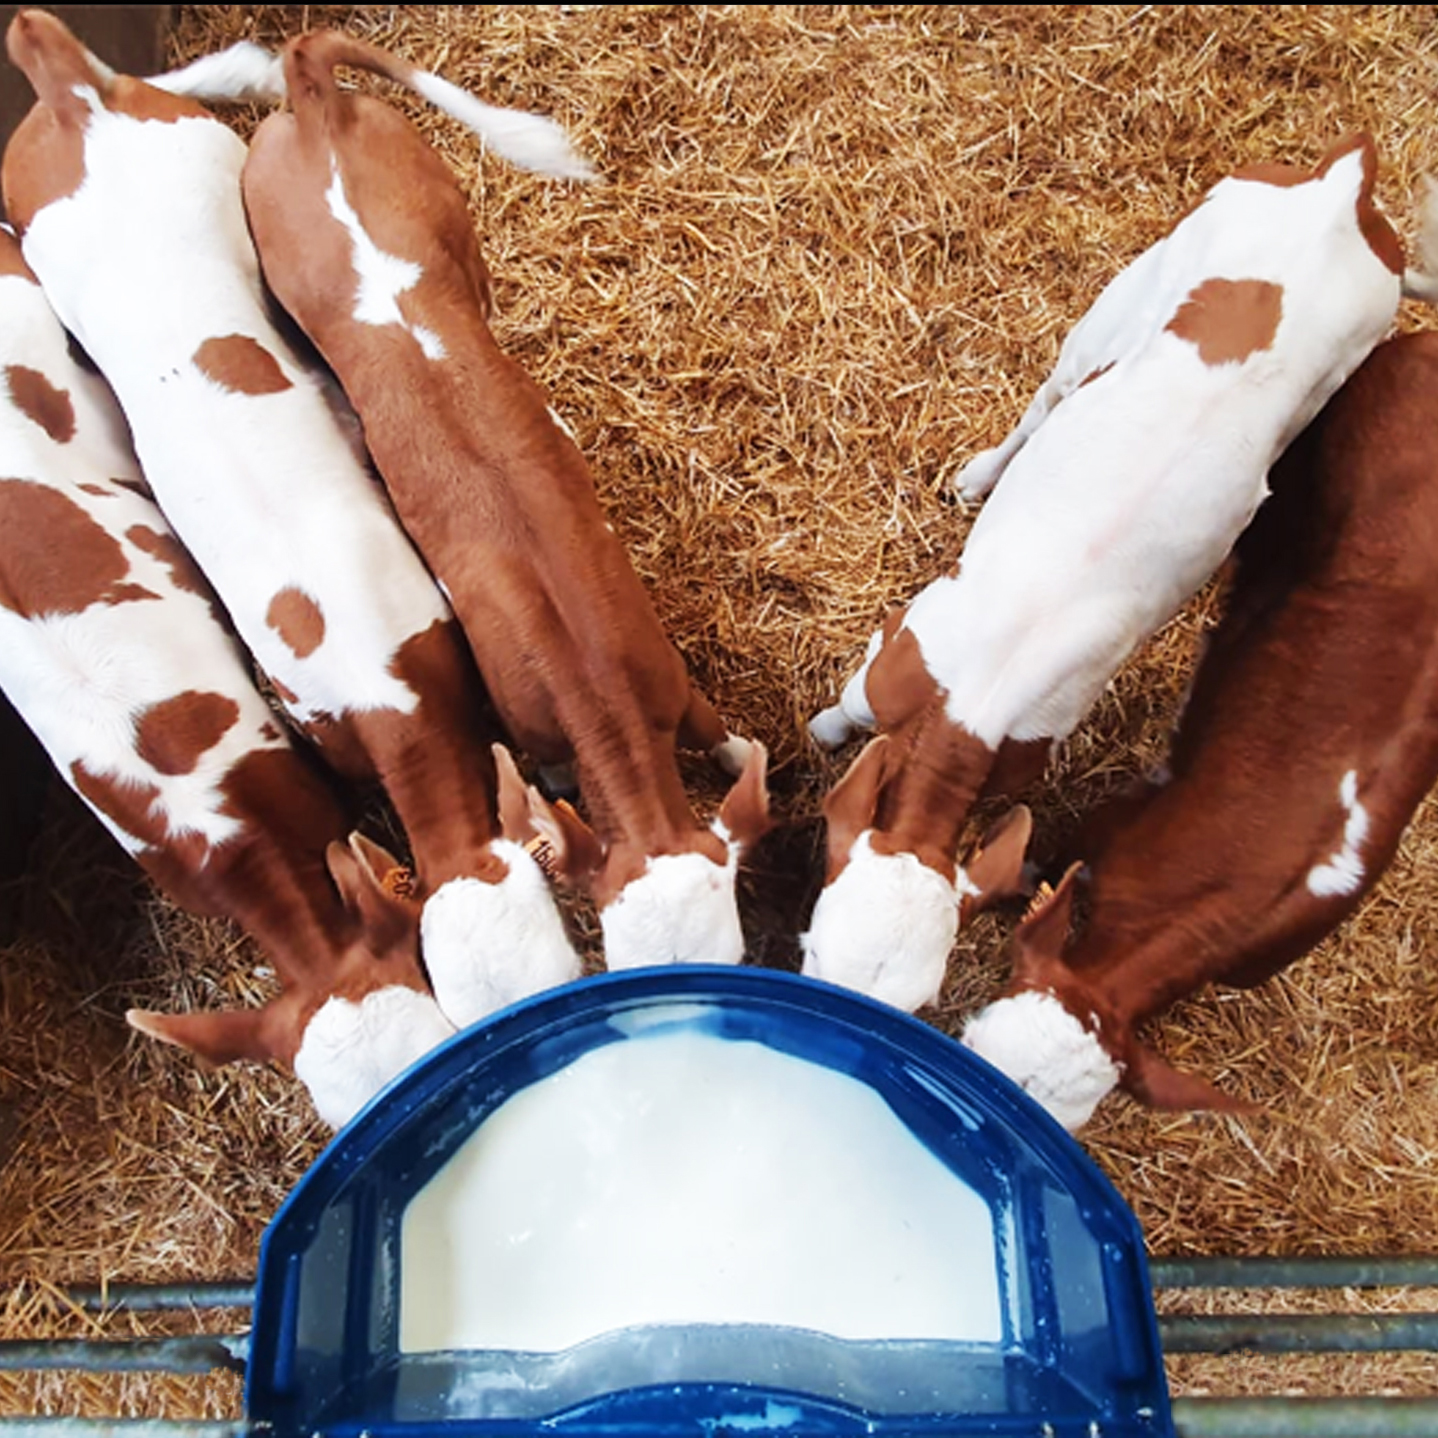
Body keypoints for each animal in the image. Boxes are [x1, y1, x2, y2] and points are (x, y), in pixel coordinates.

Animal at [152, 27, 773, 971]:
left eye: (735, 958)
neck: (596, 684)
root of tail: (312, 98)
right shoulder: (542, 735)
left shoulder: (668, 672)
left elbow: (715, 731)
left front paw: (744, 760)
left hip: (449, 219)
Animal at [803, 132, 1438, 1014]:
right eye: (813, 951)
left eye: (921, 1003)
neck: (975, 704)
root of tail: (1346, 186)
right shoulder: (896, 649)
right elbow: (846, 710)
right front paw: (818, 737)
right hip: (1129, 288)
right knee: (1053, 389)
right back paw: (981, 474)